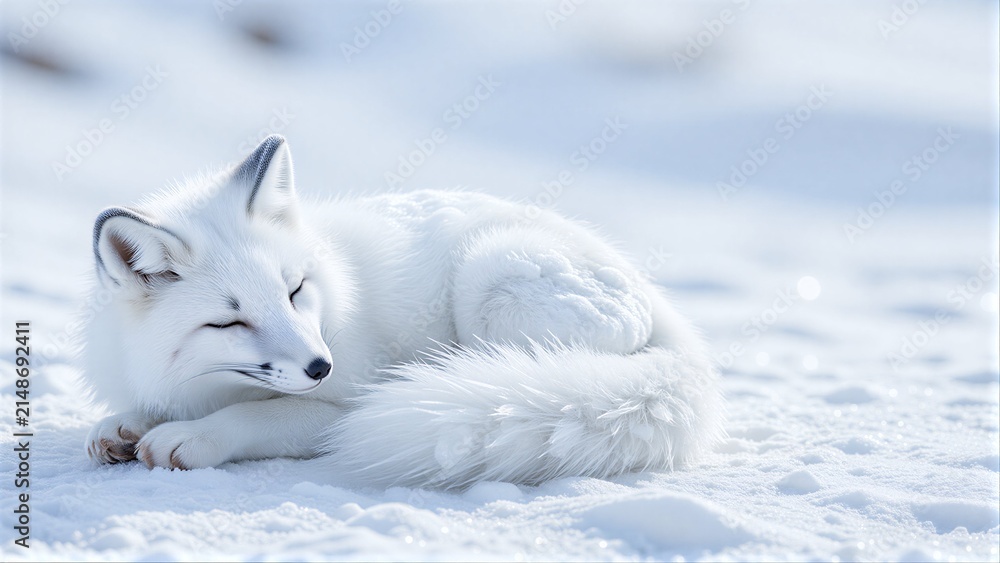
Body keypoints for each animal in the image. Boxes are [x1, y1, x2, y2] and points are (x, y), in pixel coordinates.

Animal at [82, 135, 724, 488]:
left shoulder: (346, 402)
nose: (321, 367)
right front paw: (123, 426)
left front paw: (193, 437)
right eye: (228, 322)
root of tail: (659, 305)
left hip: (490, 276)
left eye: (295, 290)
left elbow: (258, 418)